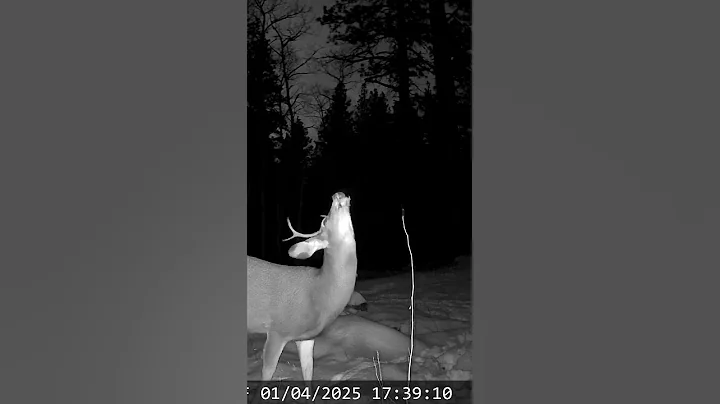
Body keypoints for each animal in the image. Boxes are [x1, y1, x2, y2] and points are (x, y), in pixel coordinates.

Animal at [247, 192, 357, 381]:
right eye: (325, 220)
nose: (338, 194)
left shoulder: (307, 337)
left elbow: (308, 371)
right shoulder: (278, 329)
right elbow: (268, 372)